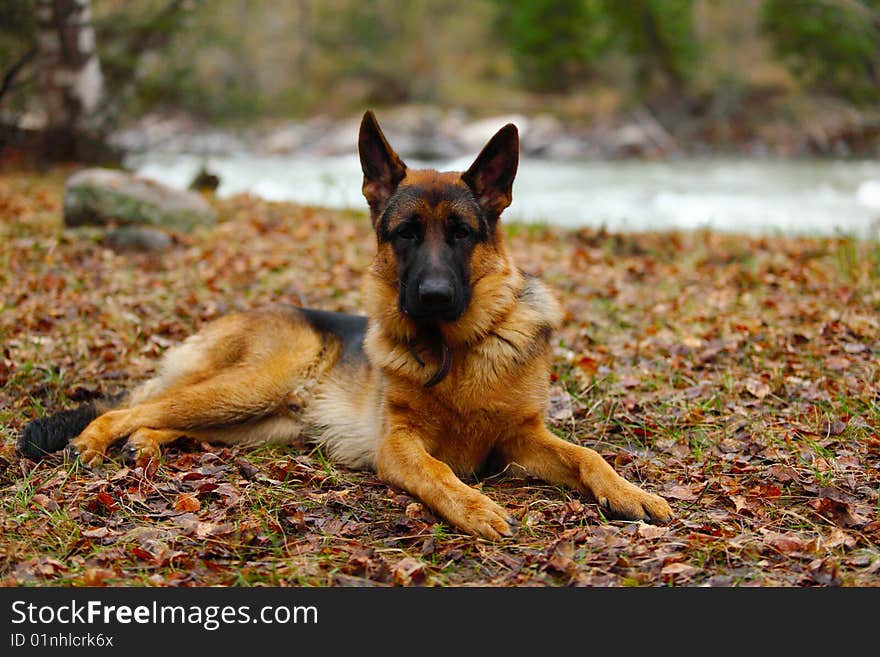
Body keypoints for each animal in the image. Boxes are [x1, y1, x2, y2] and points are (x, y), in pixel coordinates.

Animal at [17, 109, 672, 540]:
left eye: (461, 234)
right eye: (405, 234)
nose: (433, 296)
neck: (453, 352)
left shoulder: (521, 437)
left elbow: (589, 456)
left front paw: (632, 493)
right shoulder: (399, 445)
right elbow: (437, 472)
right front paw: (475, 507)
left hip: (255, 422)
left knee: (159, 417)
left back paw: (145, 446)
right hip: (249, 388)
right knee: (129, 408)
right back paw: (94, 442)